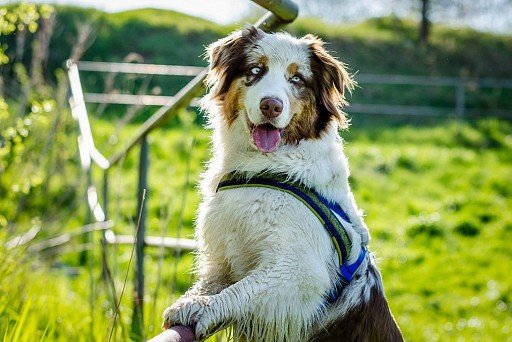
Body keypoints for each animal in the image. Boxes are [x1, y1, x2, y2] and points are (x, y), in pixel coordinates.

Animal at [164, 27, 404, 342]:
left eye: (297, 79)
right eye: (256, 70)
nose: (271, 106)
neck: (265, 168)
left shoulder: (300, 270)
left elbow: (244, 290)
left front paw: (203, 308)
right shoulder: (224, 257)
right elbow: (213, 283)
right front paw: (192, 299)